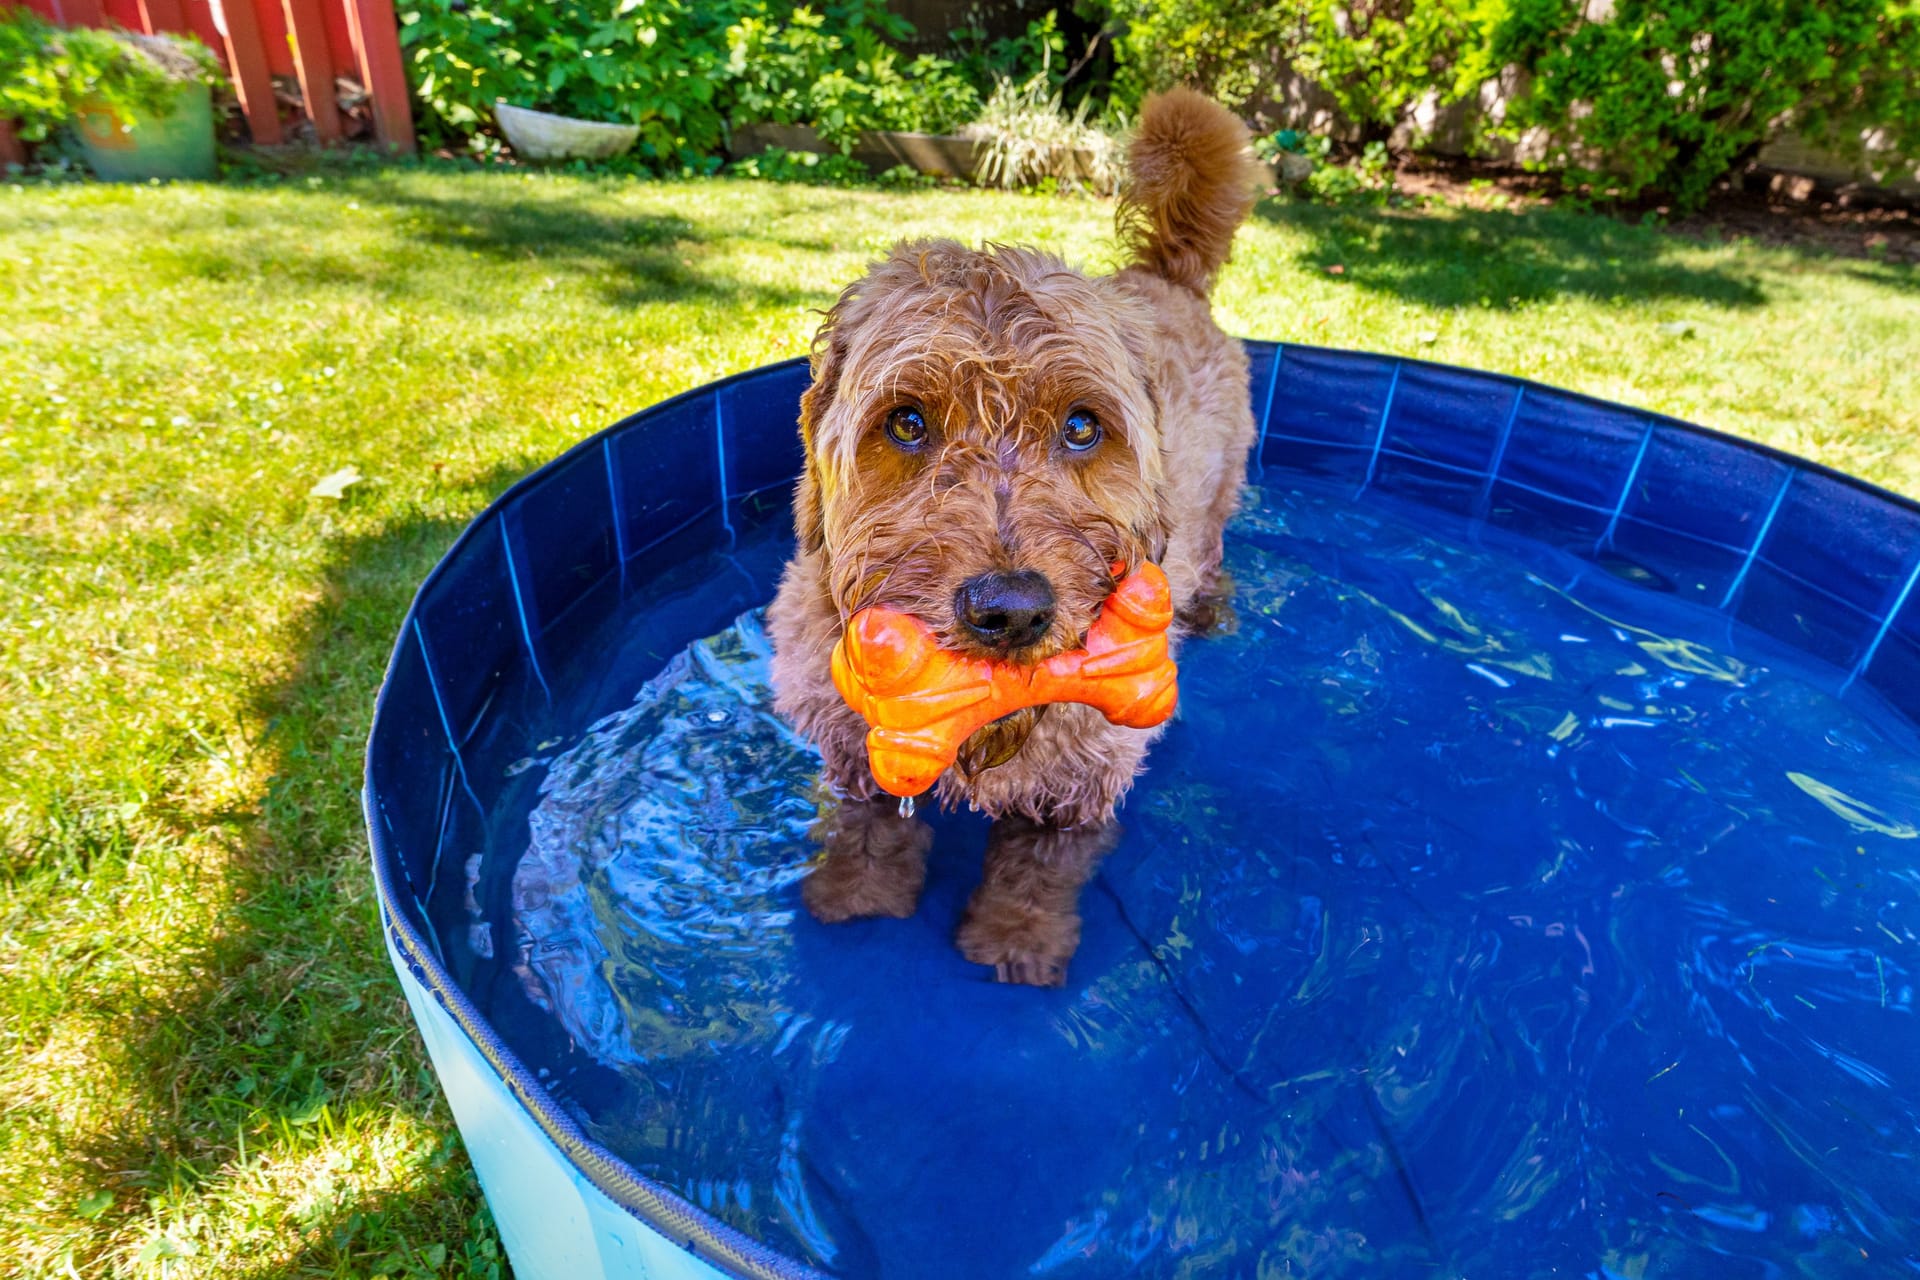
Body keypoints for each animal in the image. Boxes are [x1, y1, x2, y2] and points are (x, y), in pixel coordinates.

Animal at [764, 90, 1259, 990]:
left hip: (1215, 507)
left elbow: (1041, 868)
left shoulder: (1085, 774)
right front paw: (856, 896)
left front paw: (1015, 941)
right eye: (907, 422)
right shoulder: (854, 744)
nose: (1011, 610)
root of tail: (1163, 272)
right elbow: (867, 825)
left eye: (1081, 426)